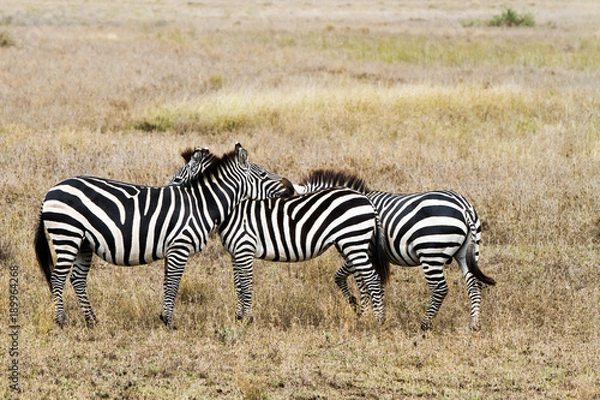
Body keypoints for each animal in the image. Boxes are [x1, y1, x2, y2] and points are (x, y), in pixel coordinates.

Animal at [34, 143, 292, 328]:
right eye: (263, 174)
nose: (289, 187)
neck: (202, 204)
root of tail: (51, 191)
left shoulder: (171, 249)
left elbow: (168, 282)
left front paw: (163, 316)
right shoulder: (179, 246)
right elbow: (174, 284)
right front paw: (169, 321)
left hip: (83, 242)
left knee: (77, 278)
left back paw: (92, 320)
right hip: (67, 234)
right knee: (58, 278)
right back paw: (61, 320)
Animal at [171, 150, 392, 322]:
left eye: (177, 180)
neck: (234, 211)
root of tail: (366, 199)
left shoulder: (244, 249)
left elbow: (246, 284)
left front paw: (247, 320)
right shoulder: (235, 253)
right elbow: (238, 285)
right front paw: (239, 317)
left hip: (353, 242)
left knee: (372, 279)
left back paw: (377, 320)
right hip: (350, 244)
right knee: (363, 278)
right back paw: (364, 316)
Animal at [296, 169, 496, 332]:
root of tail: (464, 207)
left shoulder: (358, 250)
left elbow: (349, 279)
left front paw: (360, 310)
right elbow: (371, 282)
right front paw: (373, 311)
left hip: (430, 252)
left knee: (440, 289)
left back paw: (424, 324)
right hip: (468, 252)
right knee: (474, 285)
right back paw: (474, 324)